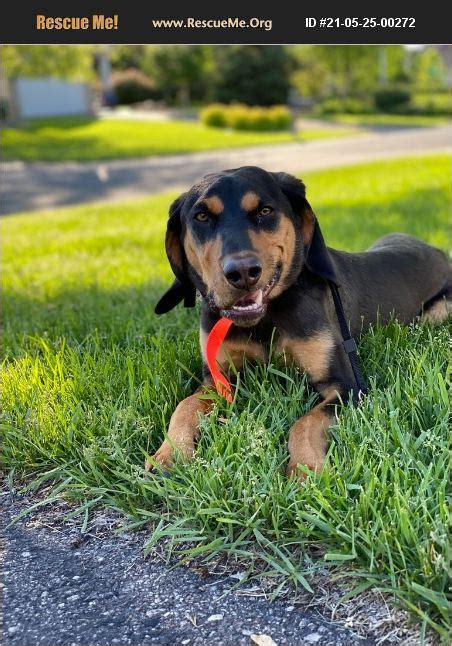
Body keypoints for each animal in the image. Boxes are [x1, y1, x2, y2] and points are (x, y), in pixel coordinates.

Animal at [147, 167, 450, 480]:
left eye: (265, 211)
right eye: (202, 217)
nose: (242, 273)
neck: (266, 319)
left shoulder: (347, 386)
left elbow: (304, 423)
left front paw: (306, 470)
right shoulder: (218, 380)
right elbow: (185, 406)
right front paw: (169, 454)